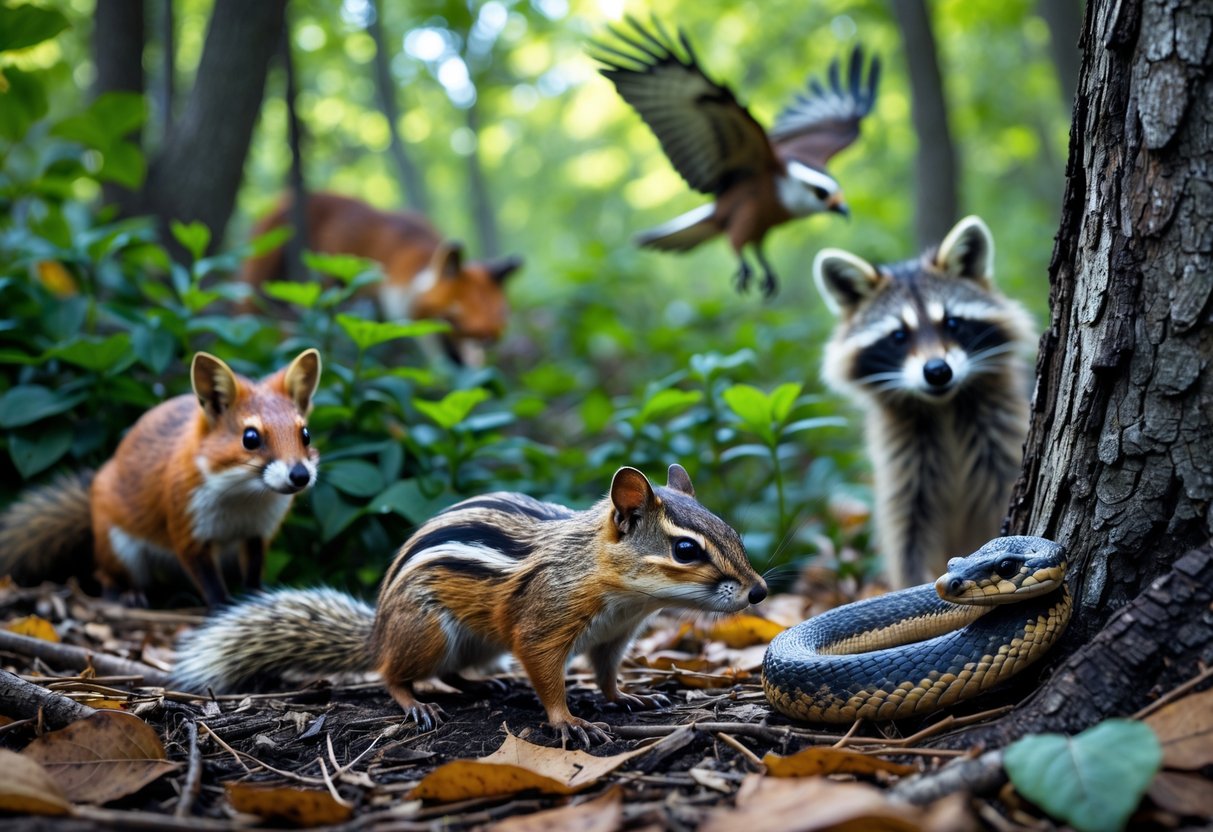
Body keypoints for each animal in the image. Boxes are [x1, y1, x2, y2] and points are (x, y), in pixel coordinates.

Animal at [0, 349, 321, 607]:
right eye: (250, 438)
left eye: (305, 434)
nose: (300, 475)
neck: (243, 500)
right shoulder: (188, 534)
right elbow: (212, 587)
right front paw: (223, 611)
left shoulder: (256, 534)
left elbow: (253, 577)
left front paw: (256, 600)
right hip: (121, 551)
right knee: (104, 577)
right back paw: (128, 595)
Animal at [172, 464, 768, 745]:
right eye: (686, 550)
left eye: (732, 531)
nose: (759, 591)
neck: (624, 597)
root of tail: (378, 629)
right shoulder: (543, 623)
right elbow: (546, 672)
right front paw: (569, 720)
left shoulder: (614, 637)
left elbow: (605, 673)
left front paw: (626, 697)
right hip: (427, 632)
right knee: (390, 672)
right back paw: (414, 702)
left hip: (476, 645)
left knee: (453, 672)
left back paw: (484, 685)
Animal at [812, 216, 1035, 588]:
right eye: (898, 336)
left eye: (953, 323)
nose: (937, 371)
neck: (943, 406)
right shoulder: (904, 466)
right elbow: (907, 537)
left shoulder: (1000, 438)